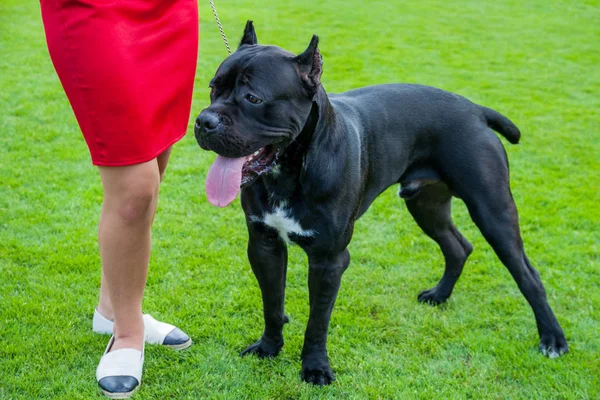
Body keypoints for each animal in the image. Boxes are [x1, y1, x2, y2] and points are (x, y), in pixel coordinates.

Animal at [196, 21, 568, 384]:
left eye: (253, 98)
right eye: (213, 88)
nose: (203, 121)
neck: (289, 171)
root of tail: (475, 110)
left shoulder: (329, 260)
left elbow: (317, 321)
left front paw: (315, 367)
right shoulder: (265, 246)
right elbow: (272, 303)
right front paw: (269, 348)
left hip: (492, 210)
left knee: (528, 274)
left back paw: (552, 340)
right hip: (426, 205)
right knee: (457, 246)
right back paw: (439, 295)